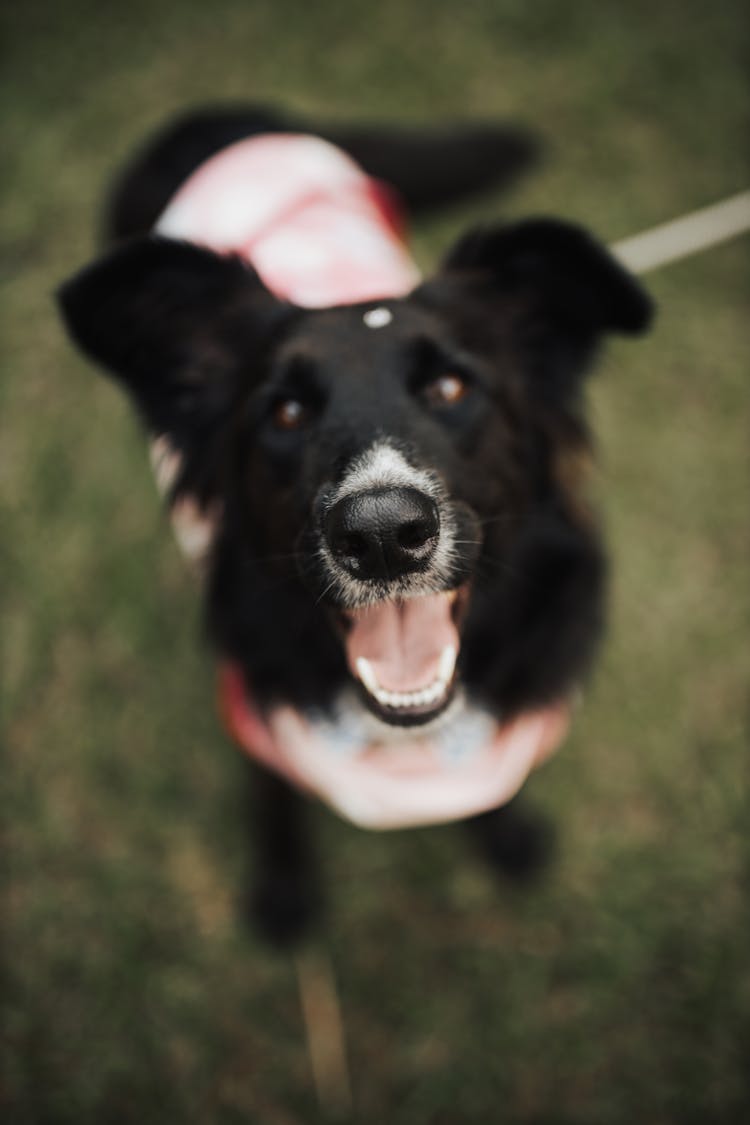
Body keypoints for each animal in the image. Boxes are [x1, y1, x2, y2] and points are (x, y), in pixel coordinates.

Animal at [58, 109, 652, 945]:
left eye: (451, 386)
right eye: (285, 411)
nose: (380, 535)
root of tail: (227, 119)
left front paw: (505, 834)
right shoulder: (256, 713)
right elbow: (274, 801)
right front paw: (283, 890)